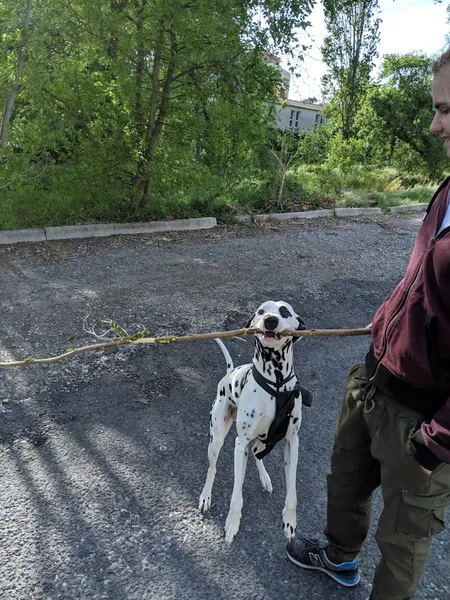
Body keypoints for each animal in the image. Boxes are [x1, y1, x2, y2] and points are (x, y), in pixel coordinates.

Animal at [200, 300, 310, 544]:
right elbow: (236, 494)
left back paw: (265, 478)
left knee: (257, 454)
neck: (276, 384)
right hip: (217, 439)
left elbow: (293, 493)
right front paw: (232, 523)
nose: (270, 320)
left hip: (265, 439)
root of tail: (229, 373)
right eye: (261, 311)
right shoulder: (239, 444)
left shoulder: (292, 442)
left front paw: (290, 522)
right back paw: (205, 496)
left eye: (285, 311)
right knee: (212, 468)